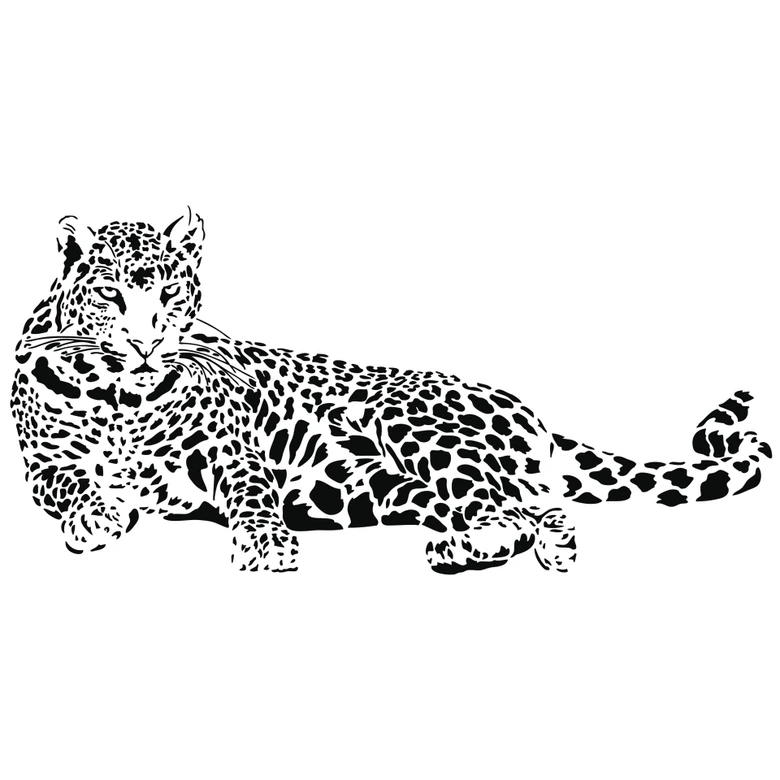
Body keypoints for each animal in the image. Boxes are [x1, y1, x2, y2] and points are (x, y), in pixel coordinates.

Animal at [10, 210, 773, 573]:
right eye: (112, 295)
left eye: (171, 293)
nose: (147, 342)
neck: (121, 396)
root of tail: (531, 410)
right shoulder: (43, 466)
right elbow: (73, 483)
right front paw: (97, 516)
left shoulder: (235, 454)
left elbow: (252, 495)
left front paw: (265, 545)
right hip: (368, 486)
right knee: (527, 515)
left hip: (416, 429)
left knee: (536, 514)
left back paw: (471, 555)